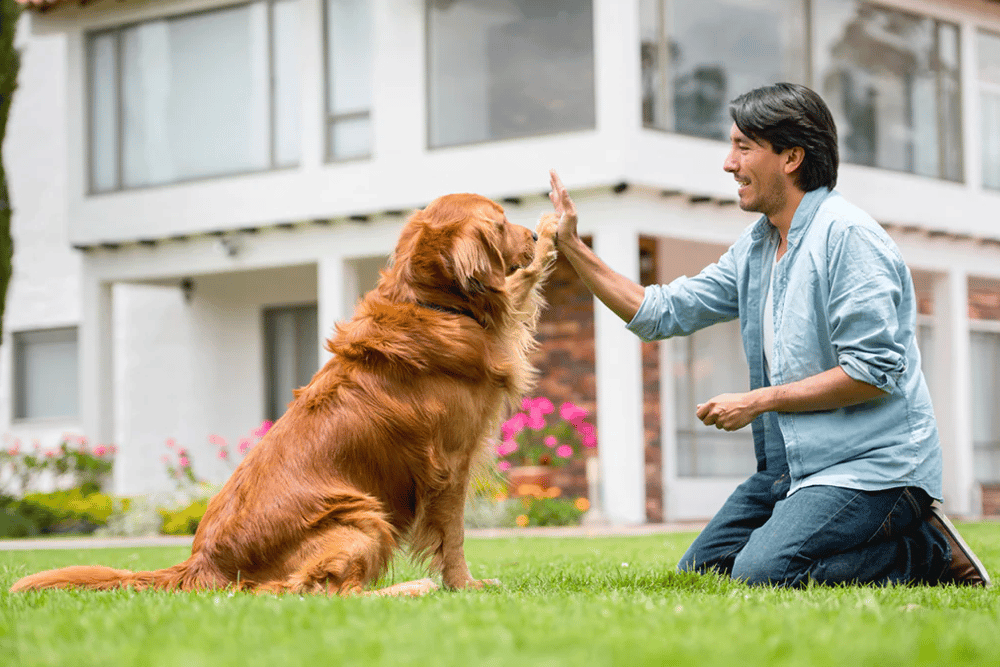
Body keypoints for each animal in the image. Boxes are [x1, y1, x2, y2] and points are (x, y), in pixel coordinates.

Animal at [11, 196, 560, 596]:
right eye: (500, 223)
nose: (530, 234)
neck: (430, 303)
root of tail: (201, 563)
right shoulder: (449, 465)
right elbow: (454, 537)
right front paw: (465, 585)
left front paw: (552, 232)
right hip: (362, 516)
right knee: (318, 592)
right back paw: (411, 589)